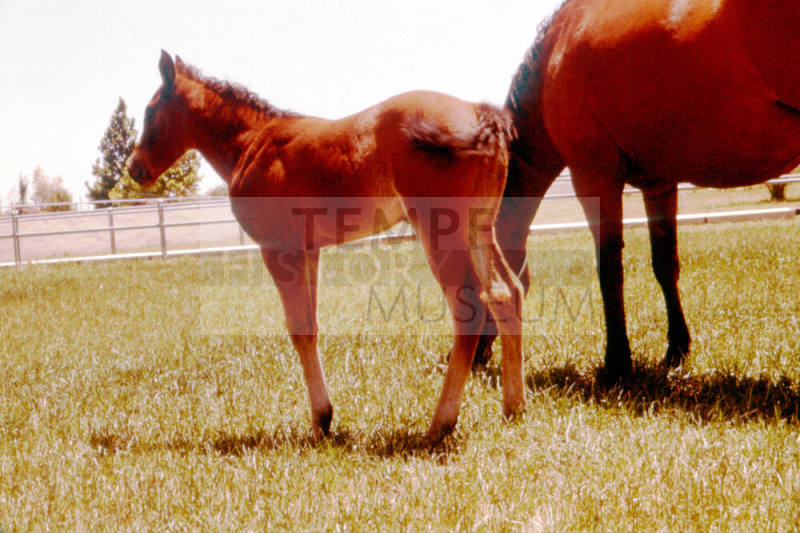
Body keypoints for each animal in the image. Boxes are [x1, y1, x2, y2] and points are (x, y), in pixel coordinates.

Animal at [126, 51, 522, 445]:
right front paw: (325, 419)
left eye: (150, 112)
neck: (252, 143)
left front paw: (321, 420)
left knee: (469, 305)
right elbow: (312, 325)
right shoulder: (309, 251)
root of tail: (481, 114)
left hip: (439, 229)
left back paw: (440, 424)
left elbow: (299, 328)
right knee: (506, 293)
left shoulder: (279, 248)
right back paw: (513, 408)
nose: (134, 168)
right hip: (479, 226)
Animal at [474, 0, 800, 378]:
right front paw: (675, 351)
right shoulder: (659, 184)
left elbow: (610, 268)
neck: (553, 54)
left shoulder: (594, 176)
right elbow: (665, 264)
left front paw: (617, 361)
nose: (472, 357)